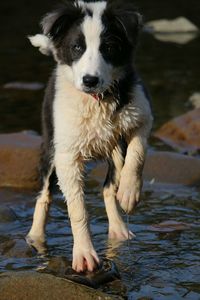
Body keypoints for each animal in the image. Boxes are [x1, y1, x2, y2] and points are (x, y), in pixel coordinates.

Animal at [26, 0, 152, 272]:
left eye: (109, 48)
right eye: (77, 47)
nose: (90, 80)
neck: (97, 100)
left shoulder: (141, 114)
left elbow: (138, 152)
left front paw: (129, 192)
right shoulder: (66, 155)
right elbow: (77, 208)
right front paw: (84, 254)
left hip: (115, 146)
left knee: (108, 186)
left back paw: (119, 228)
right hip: (50, 147)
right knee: (44, 195)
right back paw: (35, 236)